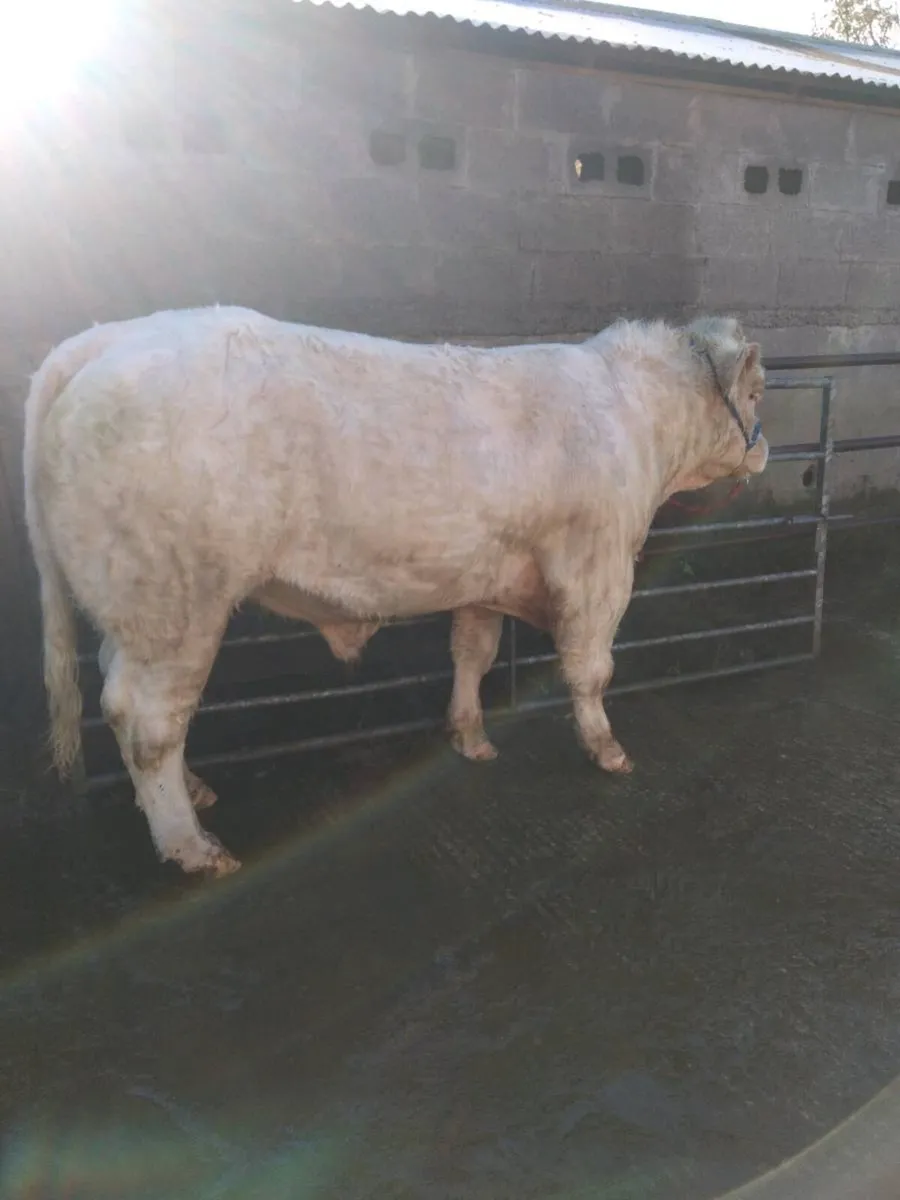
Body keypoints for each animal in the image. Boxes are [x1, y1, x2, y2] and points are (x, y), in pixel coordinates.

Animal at [24, 306, 767, 876]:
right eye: (759, 392)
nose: (763, 448)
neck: (637, 419)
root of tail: (104, 339)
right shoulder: (599, 568)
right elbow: (591, 670)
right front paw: (607, 750)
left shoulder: (486, 574)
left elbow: (473, 653)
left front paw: (469, 735)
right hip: (178, 603)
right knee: (150, 720)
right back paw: (192, 846)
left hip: (133, 607)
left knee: (118, 696)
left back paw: (193, 791)